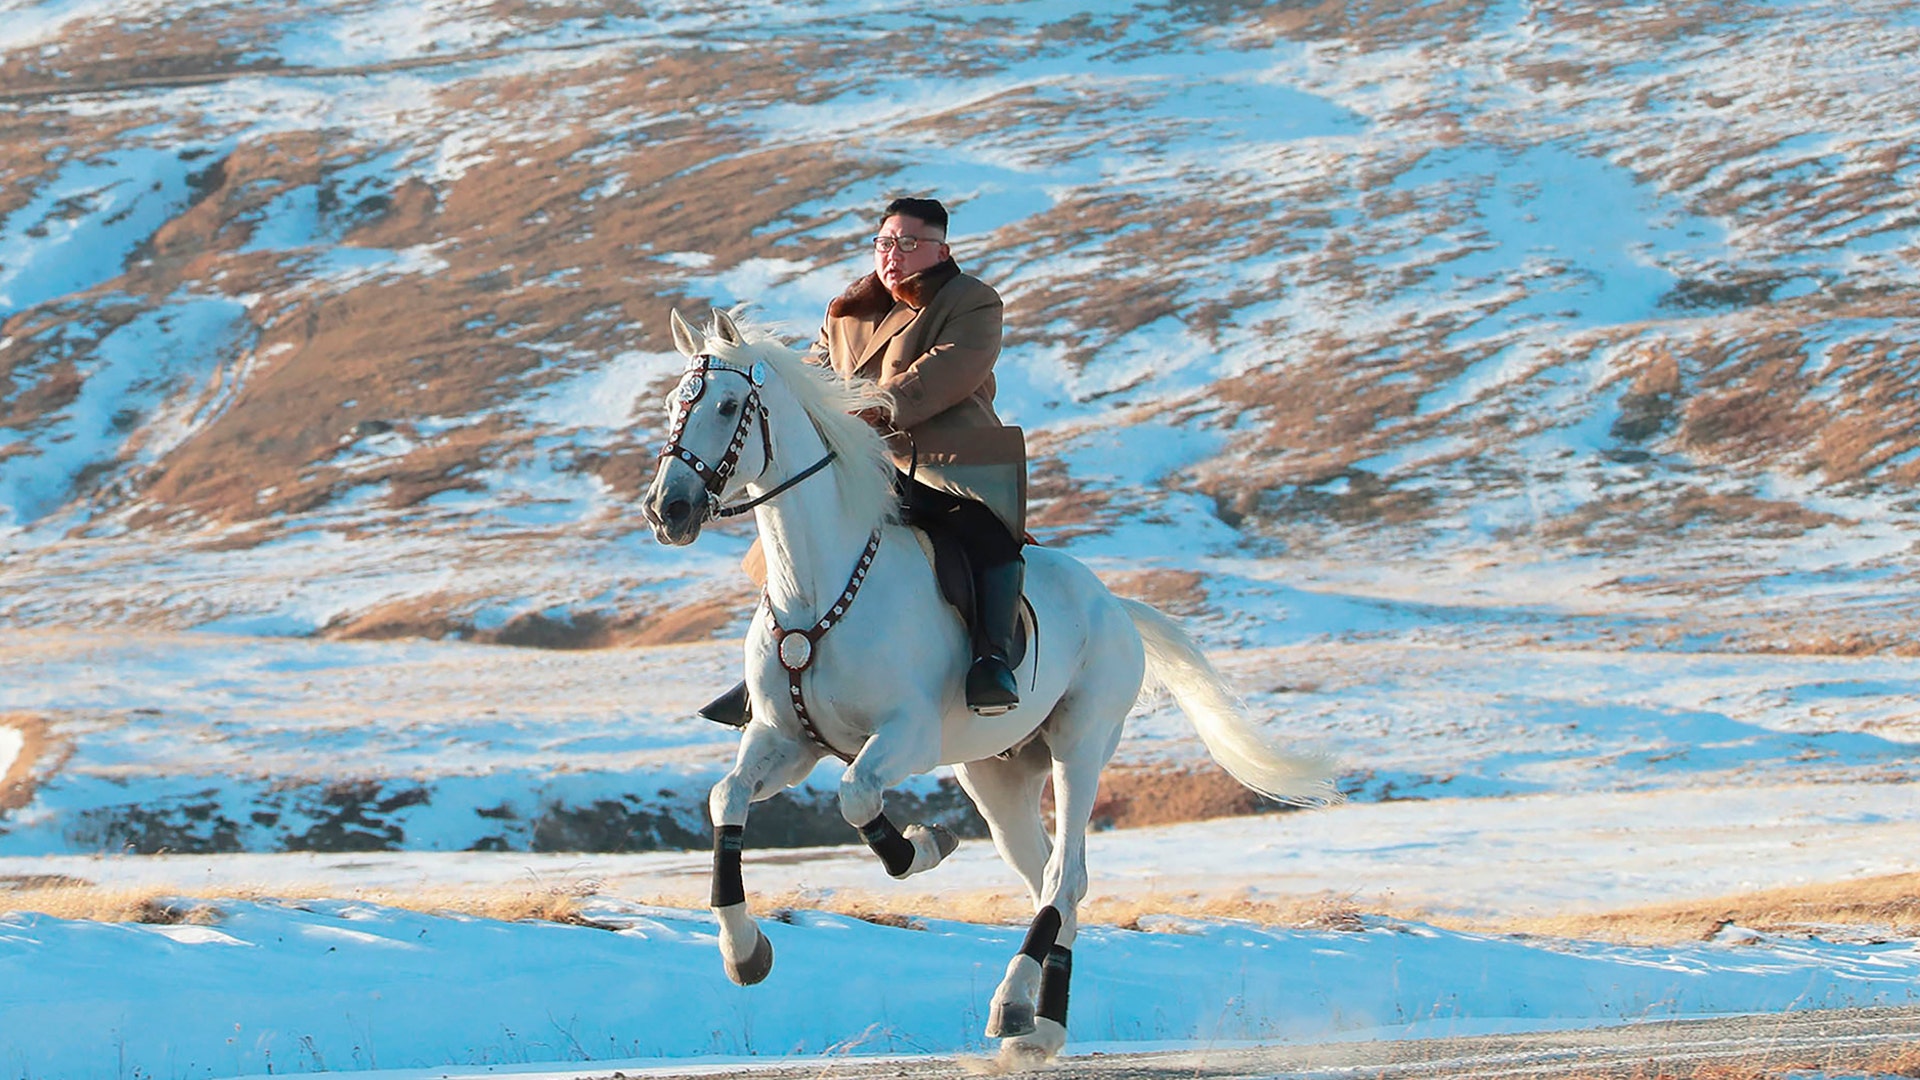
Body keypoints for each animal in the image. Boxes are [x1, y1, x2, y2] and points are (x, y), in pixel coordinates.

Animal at [642, 308, 1336, 1062]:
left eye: (728, 406)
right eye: (674, 405)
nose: (667, 509)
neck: (817, 587)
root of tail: (1116, 605)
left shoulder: (906, 735)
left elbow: (856, 796)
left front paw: (923, 846)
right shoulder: (785, 740)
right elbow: (726, 798)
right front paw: (744, 951)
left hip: (1079, 744)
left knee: (1064, 876)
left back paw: (1012, 1005)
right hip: (996, 775)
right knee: (1053, 881)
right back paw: (1042, 1024)